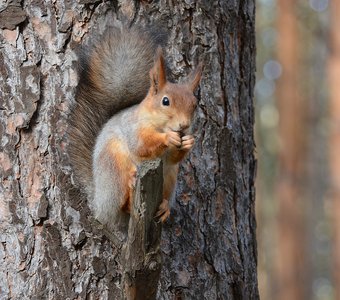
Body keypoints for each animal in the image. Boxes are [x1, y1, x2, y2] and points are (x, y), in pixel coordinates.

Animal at [68, 24, 202, 237]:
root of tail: (99, 203)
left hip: (170, 178)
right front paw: (168, 137)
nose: (184, 126)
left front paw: (188, 142)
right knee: (122, 204)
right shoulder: (132, 127)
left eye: (195, 105)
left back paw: (164, 207)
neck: (156, 123)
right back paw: (130, 186)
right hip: (113, 166)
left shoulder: (172, 159)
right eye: (165, 101)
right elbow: (141, 145)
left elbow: (174, 158)